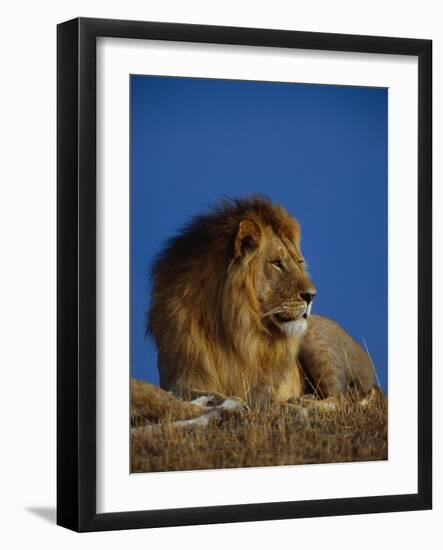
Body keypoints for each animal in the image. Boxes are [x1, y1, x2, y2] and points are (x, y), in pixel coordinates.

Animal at [147, 196, 376, 408]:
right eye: (276, 263)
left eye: (299, 262)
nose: (312, 295)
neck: (229, 331)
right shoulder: (176, 381)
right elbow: (198, 393)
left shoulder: (264, 386)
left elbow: (256, 398)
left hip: (316, 342)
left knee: (341, 399)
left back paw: (303, 401)